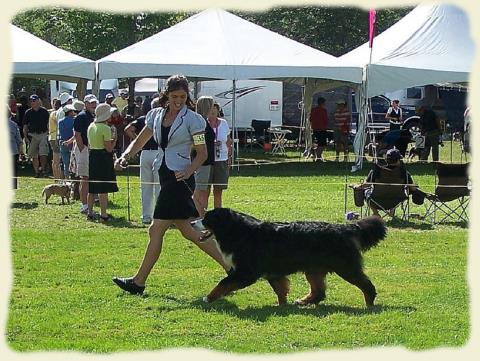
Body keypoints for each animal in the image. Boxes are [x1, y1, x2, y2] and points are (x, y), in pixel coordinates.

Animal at [199, 207, 386, 306]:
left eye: (206, 219)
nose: (194, 222)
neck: (236, 231)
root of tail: (346, 227)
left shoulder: (246, 272)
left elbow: (223, 283)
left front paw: (209, 297)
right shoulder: (273, 272)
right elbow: (280, 289)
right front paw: (282, 305)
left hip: (345, 268)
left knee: (366, 285)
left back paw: (369, 303)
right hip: (313, 269)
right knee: (319, 291)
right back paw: (304, 301)